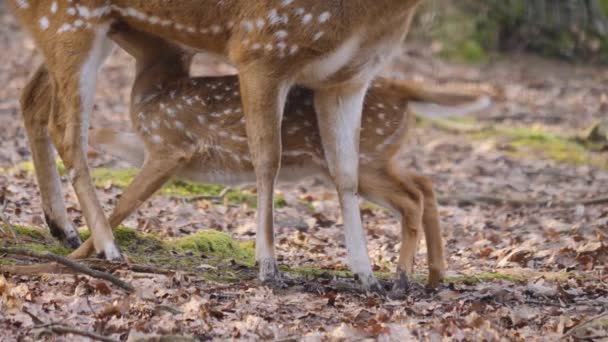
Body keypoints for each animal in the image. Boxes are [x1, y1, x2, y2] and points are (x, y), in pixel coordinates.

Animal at [10, 0, 428, 292]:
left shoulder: (349, 78)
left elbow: (345, 174)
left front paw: (368, 275)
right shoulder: (260, 47)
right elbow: (268, 159)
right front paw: (269, 268)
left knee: (32, 99)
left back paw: (64, 228)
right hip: (68, 21)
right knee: (66, 129)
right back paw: (107, 246)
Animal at [67, 25, 490, 290]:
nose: (109, 25)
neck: (154, 93)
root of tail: (402, 90)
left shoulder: (171, 146)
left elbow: (125, 202)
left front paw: (85, 252)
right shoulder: (155, 148)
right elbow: (100, 141)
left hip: (365, 156)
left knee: (412, 196)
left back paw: (402, 279)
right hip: (378, 155)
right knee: (424, 184)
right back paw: (434, 277)